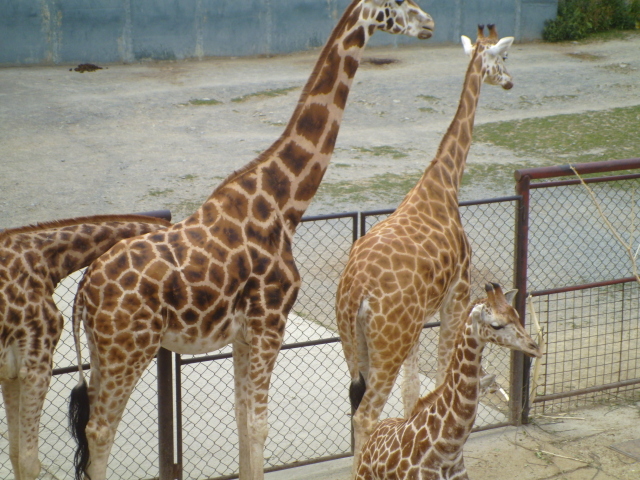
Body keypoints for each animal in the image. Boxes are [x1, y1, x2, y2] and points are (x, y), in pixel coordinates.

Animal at [67, 3, 435, 480]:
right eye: (399, 5)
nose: (429, 24)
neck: (284, 204)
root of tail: (83, 291)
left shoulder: (244, 335)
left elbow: (243, 421)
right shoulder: (270, 322)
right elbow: (260, 425)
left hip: (102, 350)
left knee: (92, 429)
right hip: (129, 348)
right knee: (99, 432)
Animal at [335, 25, 515, 467]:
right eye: (503, 58)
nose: (509, 82)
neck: (444, 183)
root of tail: (355, 293)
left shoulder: (418, 323)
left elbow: (413, 391)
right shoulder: (456, 296)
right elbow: (443, 374)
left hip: (356, 344)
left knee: (355, 404)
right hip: (388, 344)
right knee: (365, 413)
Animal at [355, 283, 542, 480]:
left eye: (517, 316)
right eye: (496, 325)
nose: (535, 349)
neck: (448, 450)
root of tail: (377, 431)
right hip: (363, 474)